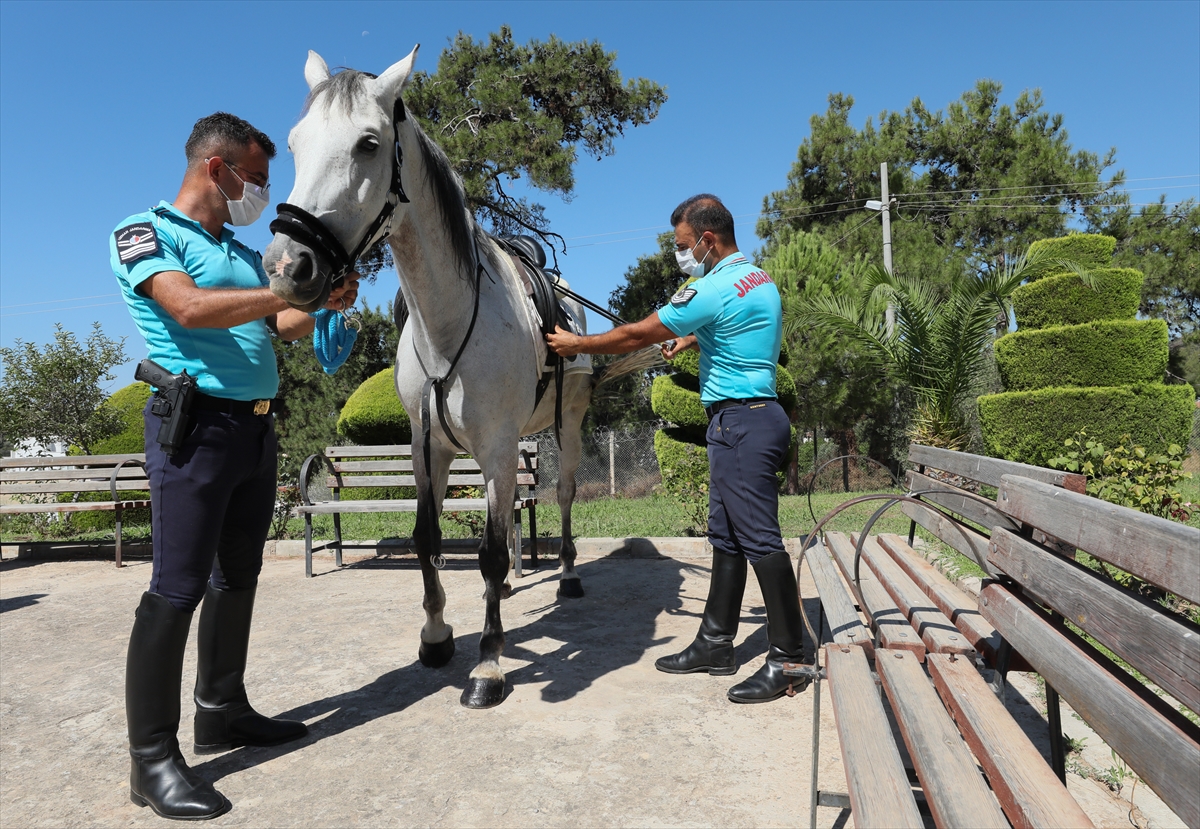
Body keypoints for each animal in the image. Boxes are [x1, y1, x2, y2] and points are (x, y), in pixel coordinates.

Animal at [265, 45, 657, 705]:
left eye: (368, 143)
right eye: (294, 144)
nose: (288, 266)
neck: (447, 322)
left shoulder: (498, 447)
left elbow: (494, 553)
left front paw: (489, 664)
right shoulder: (428, 447)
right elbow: (429, 540)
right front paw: (436, 635)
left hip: (570, 423)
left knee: (563, 494)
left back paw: (567, 575)